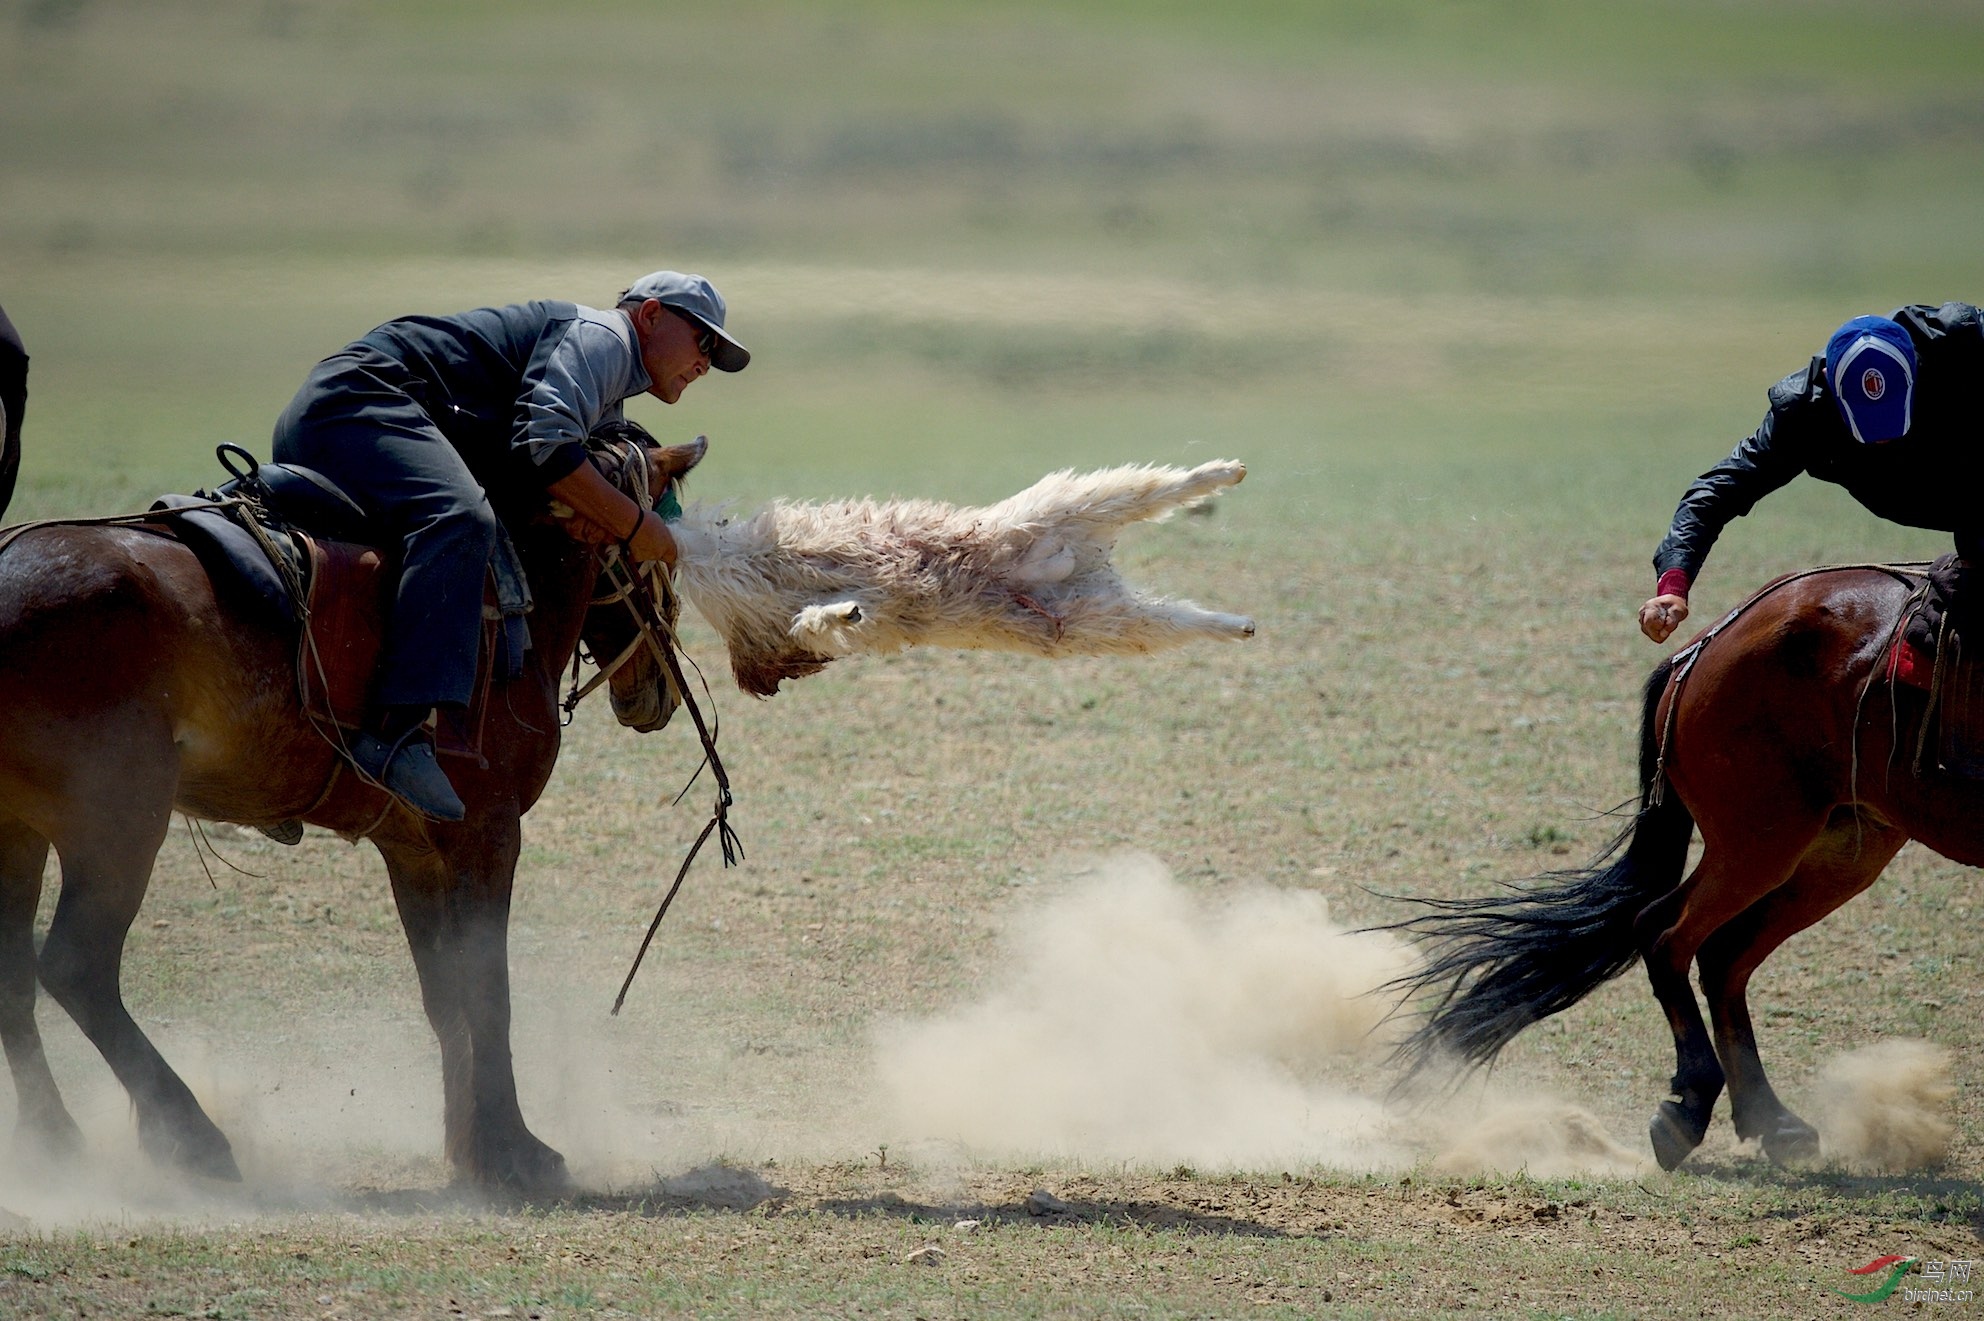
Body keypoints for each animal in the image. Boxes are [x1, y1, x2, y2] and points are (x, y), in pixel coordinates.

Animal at [0, 414, 706, 1190]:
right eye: (663, 545)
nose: (655, 690)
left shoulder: (415, 848)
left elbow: (446, 996)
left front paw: (469, 1142)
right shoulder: (489, 834)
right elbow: (488, 991)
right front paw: (513, 1149)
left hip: (20, 830)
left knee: (14, 975)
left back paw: (54, 1140)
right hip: (118, 824)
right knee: (77, 967)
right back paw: (191, 1136)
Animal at [1388, 563, 1960, 1166]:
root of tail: (1695, 652)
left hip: (1838, 847)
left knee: (1720, 952)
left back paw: (1769, 1121)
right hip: (1762, 842)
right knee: (1667, 932)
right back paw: (1690, 1110)